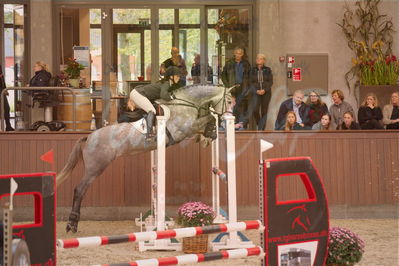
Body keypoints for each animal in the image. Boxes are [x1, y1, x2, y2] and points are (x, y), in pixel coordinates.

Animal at [55, 84, 231, 232]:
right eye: (228, 100)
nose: (227, 116)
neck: (185, 104)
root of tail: (89, 137)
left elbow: (206, 120)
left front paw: (207, 137)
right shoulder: (184, 130)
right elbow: (208, 118)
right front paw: (210, 133)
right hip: (96, 168)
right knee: (79, 190)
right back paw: (72, 224)